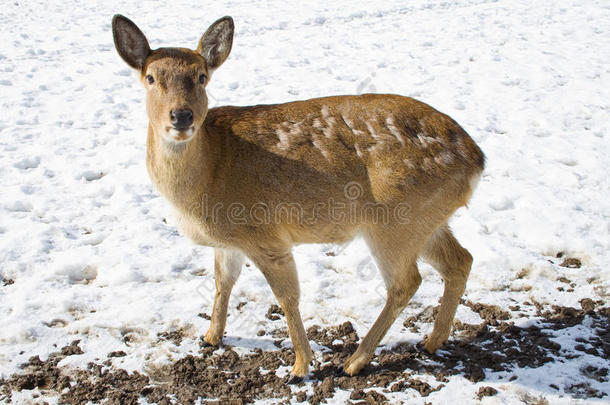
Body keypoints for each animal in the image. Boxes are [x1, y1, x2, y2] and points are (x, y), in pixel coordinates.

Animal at [111, 15, 484, 376]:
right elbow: (222, 282)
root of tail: (476, 159)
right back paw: (432, 341)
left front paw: (301, 366)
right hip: (428, 219)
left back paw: (354, 361)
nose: (182, 115)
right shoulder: (228, 243)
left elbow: (287, 298)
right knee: (460, 261)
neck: (209, 174)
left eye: (202, 77)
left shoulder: (264, 234)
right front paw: (210, 337)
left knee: (407, 282)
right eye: (151, 77)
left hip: (396, 219)